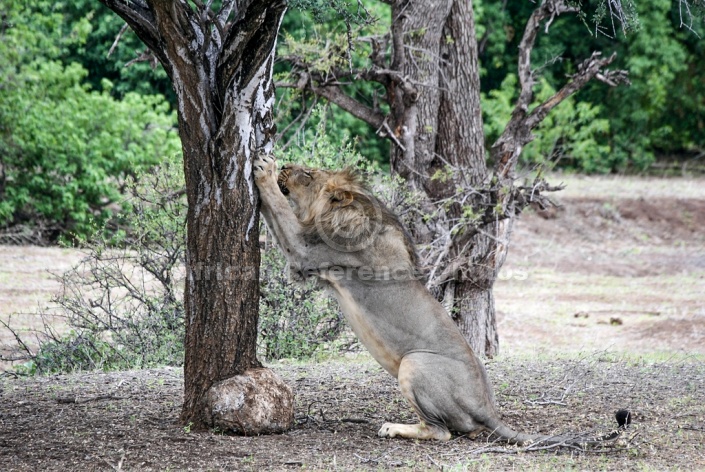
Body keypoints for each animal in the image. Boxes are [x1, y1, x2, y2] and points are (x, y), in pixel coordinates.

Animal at [252, 155, 616, 446]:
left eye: (308, 174)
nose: (285, 166)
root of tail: (488, 408)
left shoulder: (307, 251)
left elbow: (280, 210)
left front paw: (264, 169)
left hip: (415, 363)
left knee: (441, 432)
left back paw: (393, 428)